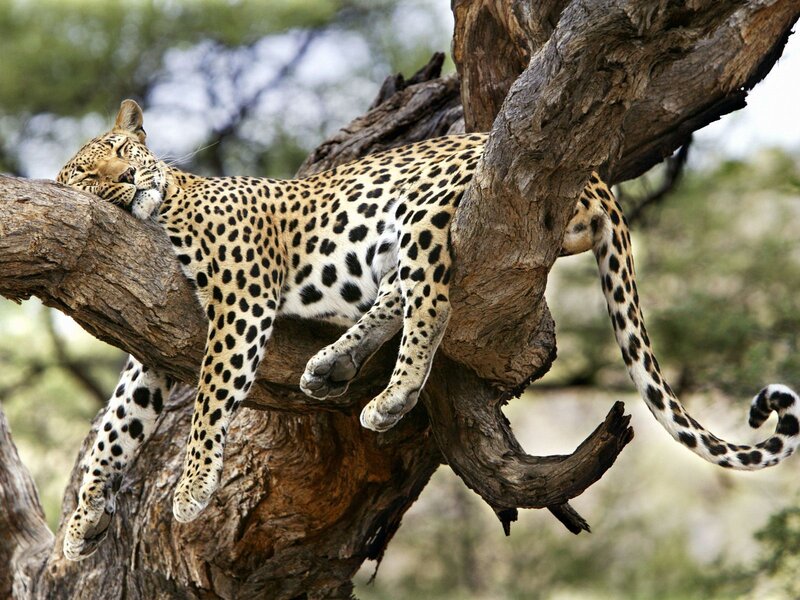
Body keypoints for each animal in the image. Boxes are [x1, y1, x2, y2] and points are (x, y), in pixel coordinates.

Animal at [56, 99, 800, 561]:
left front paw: (190, 490)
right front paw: (80, 522)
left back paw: (391, 396)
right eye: (90, 175)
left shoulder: (242, 299)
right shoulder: (153, 344)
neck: (166, 205)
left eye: (121, 150)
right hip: (391, 244)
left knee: (432, 302)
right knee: (400, 294)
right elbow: (116, 426)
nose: (127, 176)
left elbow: (211, 399)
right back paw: (332, 366)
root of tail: (593, 175)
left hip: (422, 209)